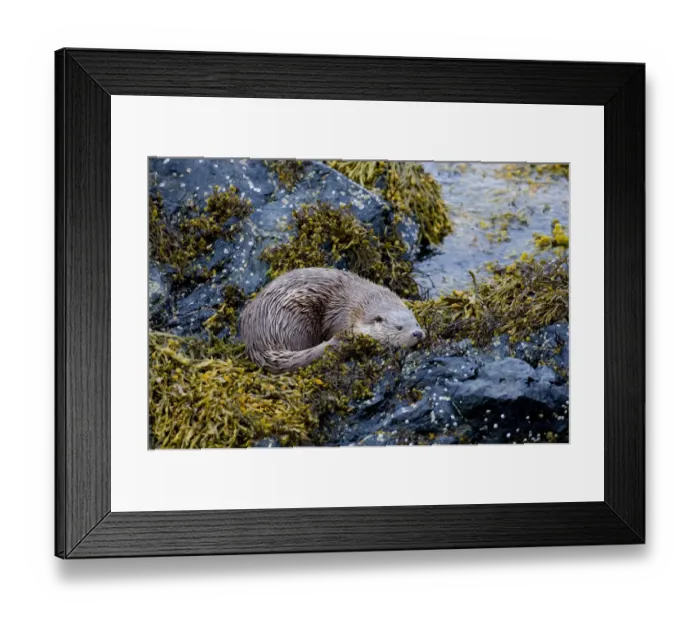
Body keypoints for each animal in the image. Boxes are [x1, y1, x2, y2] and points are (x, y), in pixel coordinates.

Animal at [240, 267, 425, 373]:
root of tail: (259, 341)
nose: (417, 333)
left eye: (416, 323)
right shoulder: (340, 317)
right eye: (399, 327)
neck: (355, 305)